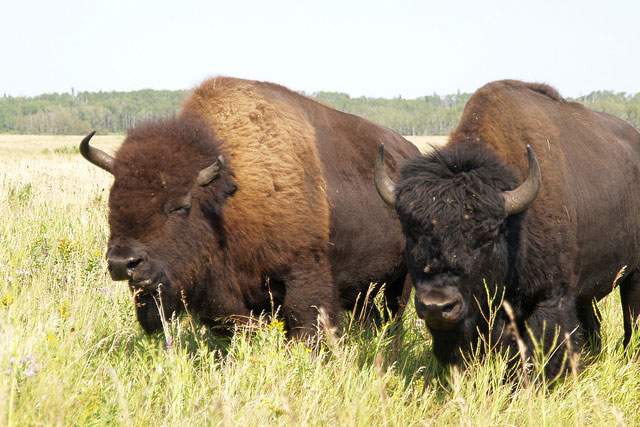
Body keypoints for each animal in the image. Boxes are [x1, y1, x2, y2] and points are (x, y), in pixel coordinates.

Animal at [81, 76, 420, 338]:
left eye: (180, 206)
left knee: (393, 318)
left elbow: (306, 329)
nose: (123, 263)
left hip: (399, 283)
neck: (223, 199)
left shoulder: (304, 279)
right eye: (114, 199)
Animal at [376, 79, 640, 378]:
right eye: (411, 232)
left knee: (631, 318)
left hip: (634, 276)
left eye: (486, 236)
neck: (514, 227)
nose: (437, 305)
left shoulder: (549, 297)